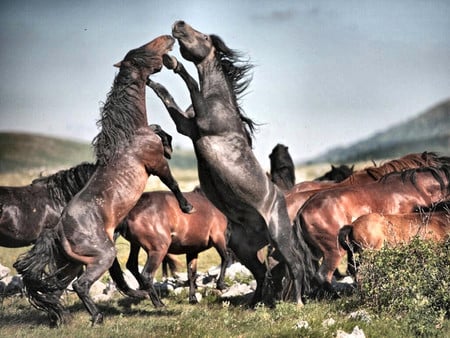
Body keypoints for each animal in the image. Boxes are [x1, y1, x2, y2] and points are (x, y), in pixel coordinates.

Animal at [13, 35, 193, 328]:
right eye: (143, 51)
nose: (168, 39)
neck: (129, 135)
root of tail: (58, 230)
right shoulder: (155, 165)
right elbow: (173, 182)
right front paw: (188, 207)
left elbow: (159, 131)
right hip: (103, 257)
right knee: (80, 285)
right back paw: (97, 317)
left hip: (72, 263)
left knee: (57, 287)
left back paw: (59, 317)